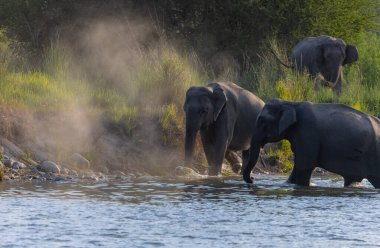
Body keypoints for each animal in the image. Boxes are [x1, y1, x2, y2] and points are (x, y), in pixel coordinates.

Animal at [243, 98, 380, 188]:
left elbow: (304, 166)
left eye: (261, 120)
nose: (253, 179)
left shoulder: (307, 132)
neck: (291, 104)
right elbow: (298, 167)